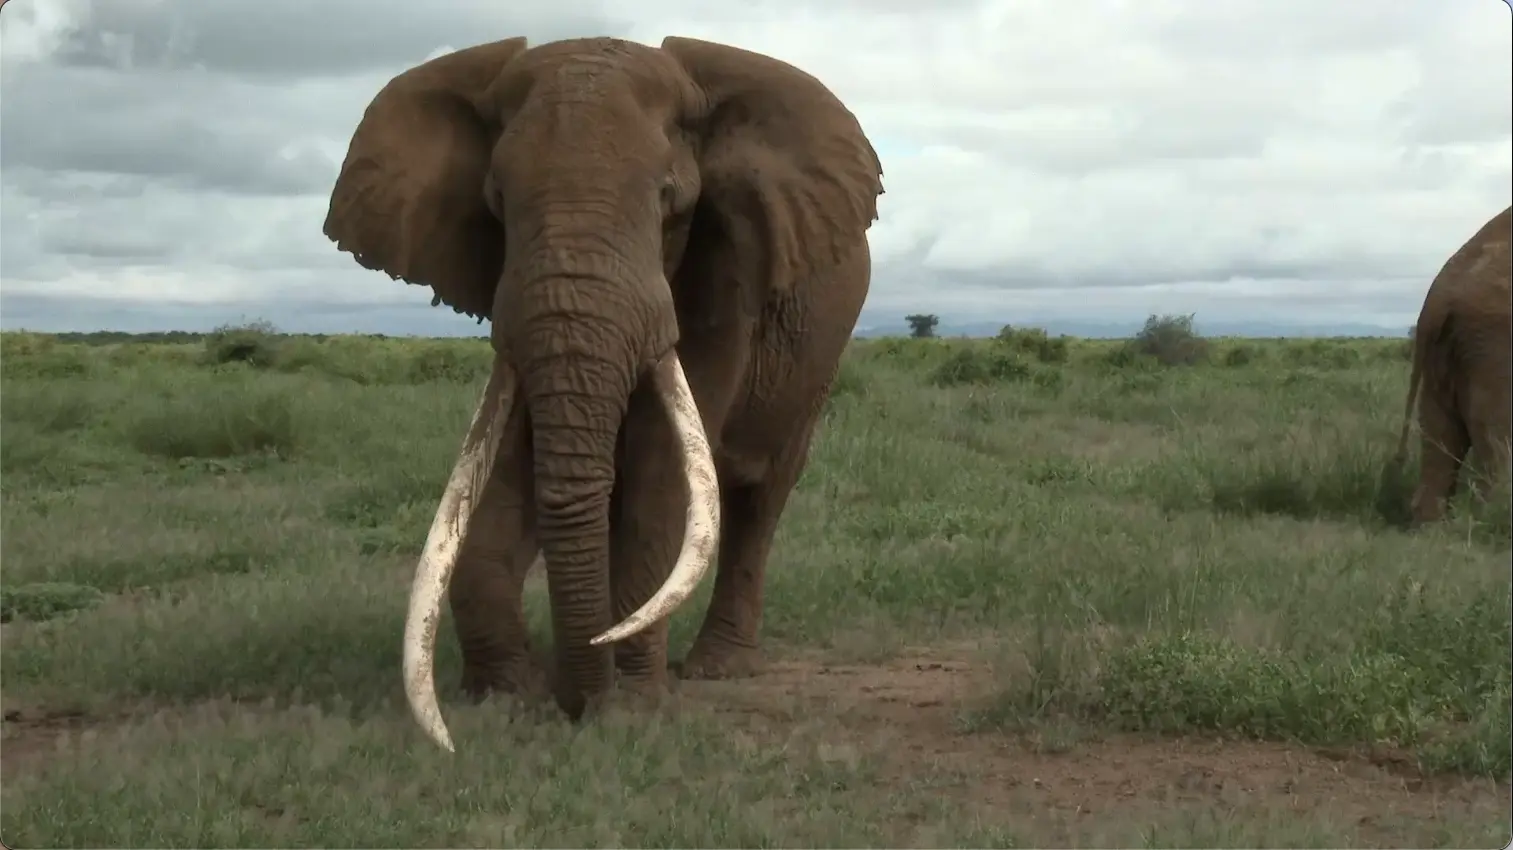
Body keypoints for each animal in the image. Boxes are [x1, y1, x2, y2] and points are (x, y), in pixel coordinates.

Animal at [322, 35, 883, 750]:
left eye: (670, 201)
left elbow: (659, 477)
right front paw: (506, 700)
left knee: (761, 496)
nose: (575, 705)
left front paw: (633, 706)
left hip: (818, 358)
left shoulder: (724, 275)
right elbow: (510, 470)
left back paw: (716, 668)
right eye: (496, 202)